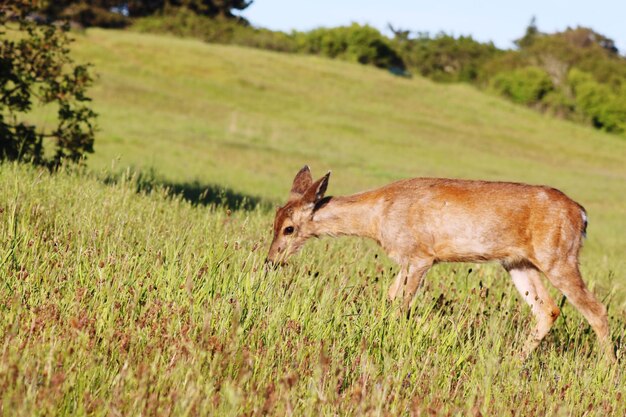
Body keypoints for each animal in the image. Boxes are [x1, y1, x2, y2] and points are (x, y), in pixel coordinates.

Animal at [266, 164, 612, 360]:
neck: (378, 217)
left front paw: (388, 344)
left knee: (596, 310)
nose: (271, 261)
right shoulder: (406, 259)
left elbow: (401, 304)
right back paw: (514, 360)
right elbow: (389, 297)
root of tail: (581, 214)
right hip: (518, 262)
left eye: (289, 228)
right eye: (274, 220)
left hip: (559, 257)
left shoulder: (421, 256)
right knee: (547, 310)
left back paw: (608, 370)